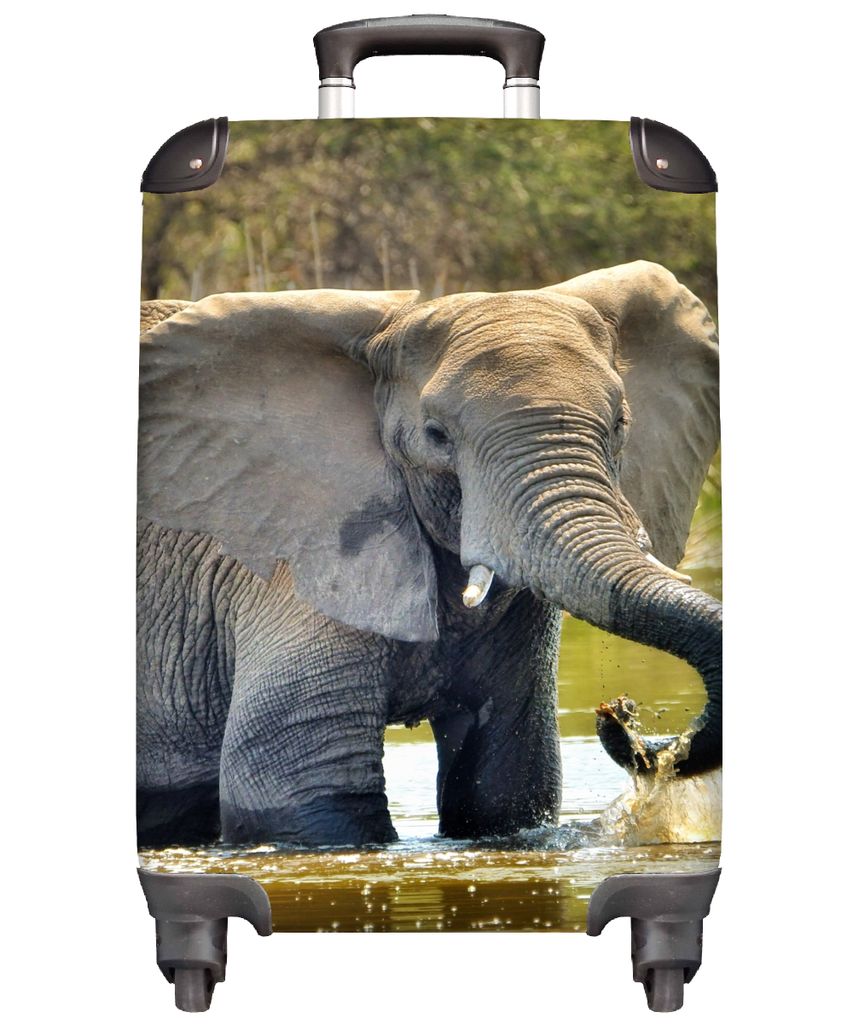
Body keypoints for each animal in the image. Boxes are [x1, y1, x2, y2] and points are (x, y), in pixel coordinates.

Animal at [137, 260, 721, 848]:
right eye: (436, 435)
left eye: (621, 423)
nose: (619, 714)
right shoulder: (291, 558)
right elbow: (304, 793)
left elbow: (506, 786)